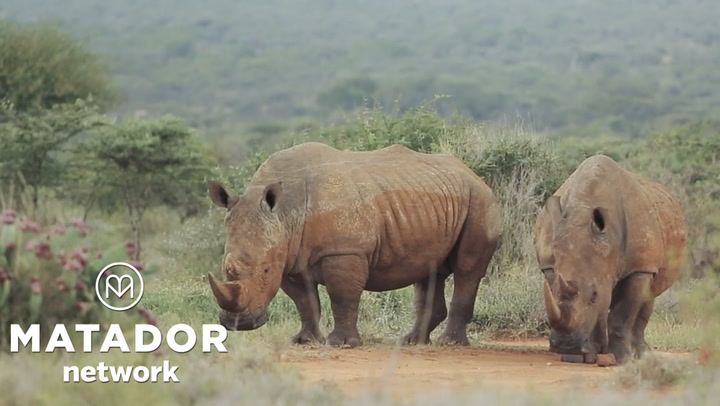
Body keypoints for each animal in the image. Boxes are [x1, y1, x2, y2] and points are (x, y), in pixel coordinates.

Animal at [206, 142, 501, 348]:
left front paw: (341, 344)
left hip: (480, 201)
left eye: (265, 270)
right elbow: (304, 301)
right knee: (429, 272)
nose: (238, 324)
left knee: (466, 269)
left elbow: (342, 296)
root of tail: (472, 173)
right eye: (225, 267)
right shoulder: (288, 256)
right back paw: (412, 342)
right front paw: (304, 341)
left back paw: (449, 342)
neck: (286, 212)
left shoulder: (344, 252)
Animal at [534, 154, 687, 364]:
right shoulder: (551, 266)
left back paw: (642, 355)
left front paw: (622, 358)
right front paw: (576, 357)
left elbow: (621, 315)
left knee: (647, 299)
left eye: (594, 295)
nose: (565, 345)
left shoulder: (639, 268)